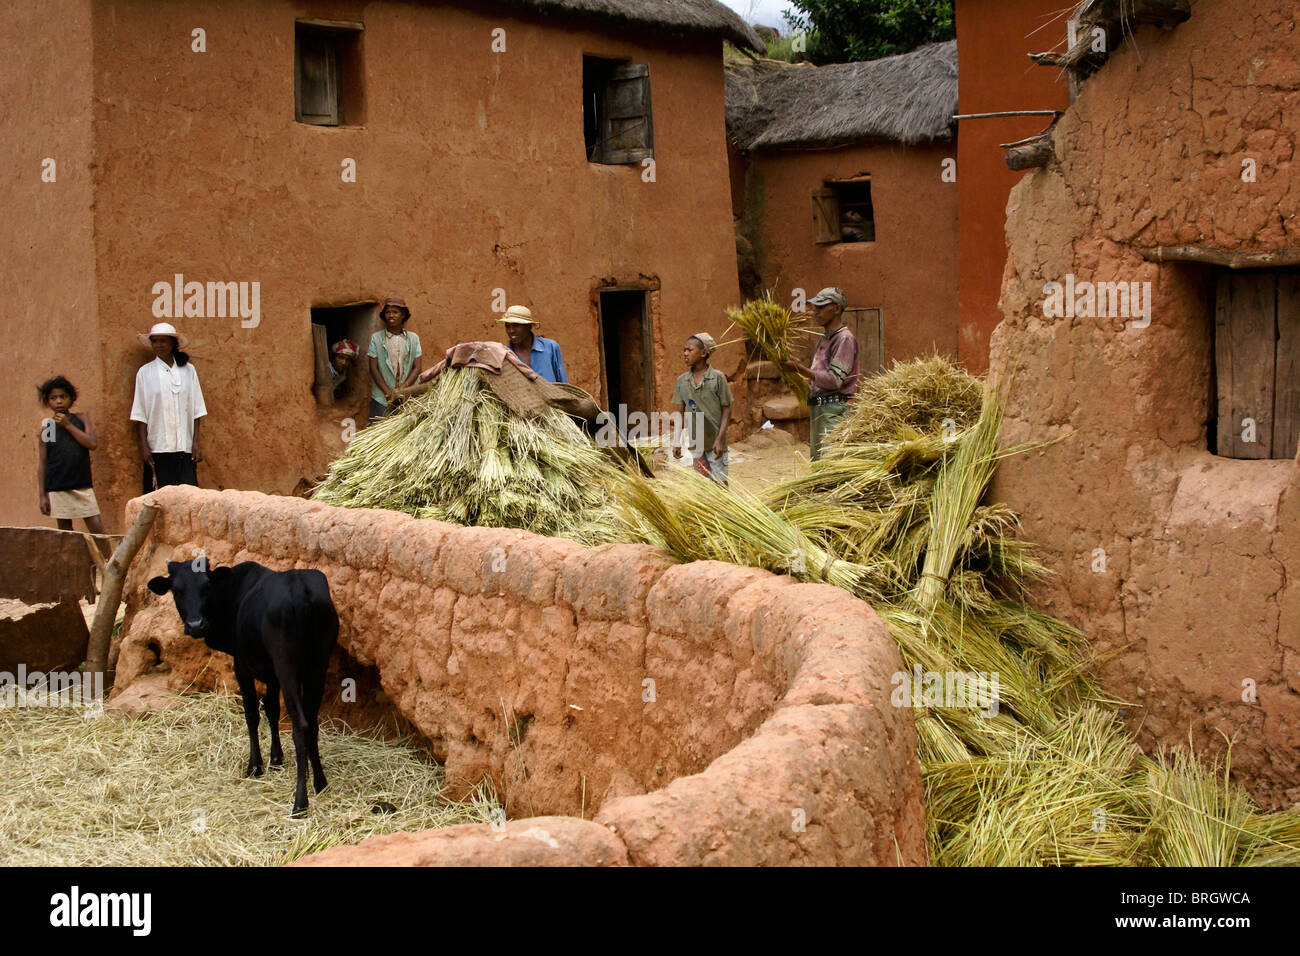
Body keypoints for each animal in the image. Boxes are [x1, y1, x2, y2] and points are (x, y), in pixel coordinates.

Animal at [148, 561, 340, 816]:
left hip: (287, 666)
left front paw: (255, 766)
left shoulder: (242, 666)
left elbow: (252, 714)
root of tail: (302, 588)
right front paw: (276, 758)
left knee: (301, 725)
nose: (196, 625)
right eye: (176, 590)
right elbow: (271, 710)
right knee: (312, 723)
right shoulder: (271, 673)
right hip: (317, 665)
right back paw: (320, 782)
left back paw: (300, 801)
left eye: (206, 587)